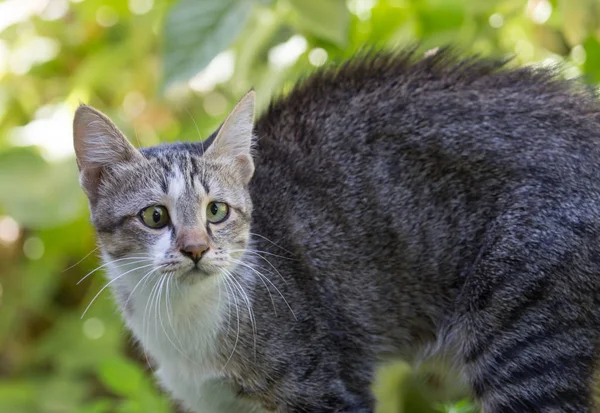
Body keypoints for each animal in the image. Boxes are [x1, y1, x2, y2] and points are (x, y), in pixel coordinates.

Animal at [72, 49, 600, 412]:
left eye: (216, 211)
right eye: (155, 217)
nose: (196, 248)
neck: (183, 321)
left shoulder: (327, 388)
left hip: (524, 334)